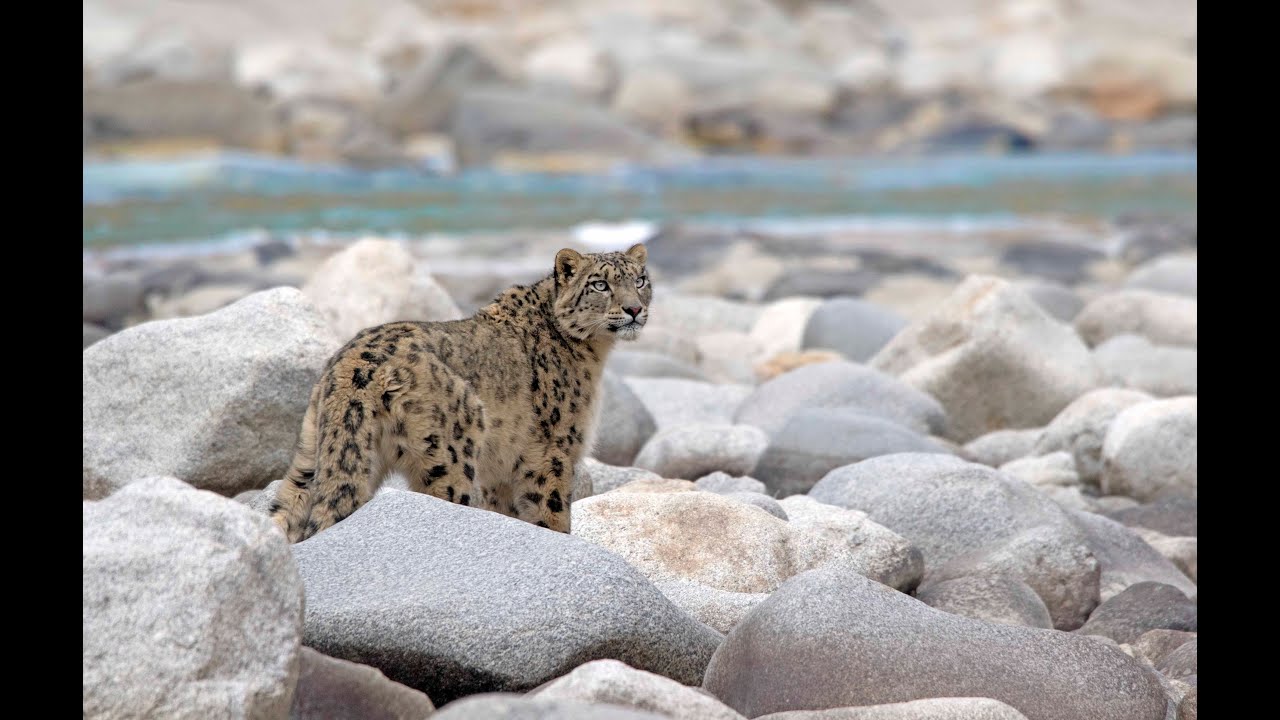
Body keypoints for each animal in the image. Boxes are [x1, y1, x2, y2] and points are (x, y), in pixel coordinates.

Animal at [269, 243, 650, 542]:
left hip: (311, 454)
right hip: (449, 458)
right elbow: (550, 513)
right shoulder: (554, 451)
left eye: (640, 280)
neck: (594, 354)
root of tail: (352, 366)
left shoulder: (501, 472)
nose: (634, 309)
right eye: (600, 284)